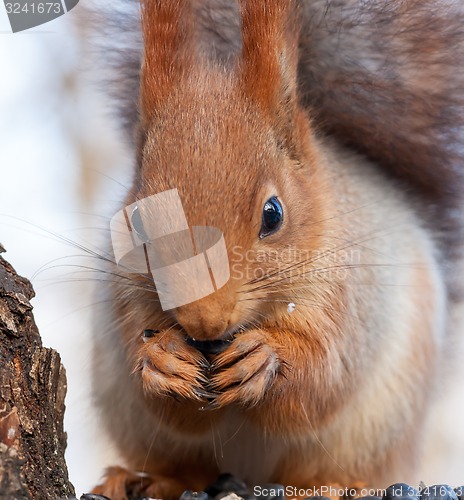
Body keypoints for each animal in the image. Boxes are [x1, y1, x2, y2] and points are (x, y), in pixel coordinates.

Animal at [88, 0, 464, 498]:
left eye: (273, 214)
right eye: (138, 221)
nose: (205, 322)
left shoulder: (351, 298)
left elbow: (324, 378)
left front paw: (264, 360)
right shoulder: (126, 299)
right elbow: (169, 407)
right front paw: (162, 360)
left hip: (379, 430)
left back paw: (335, 485)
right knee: (188, 466)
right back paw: (146, 479)